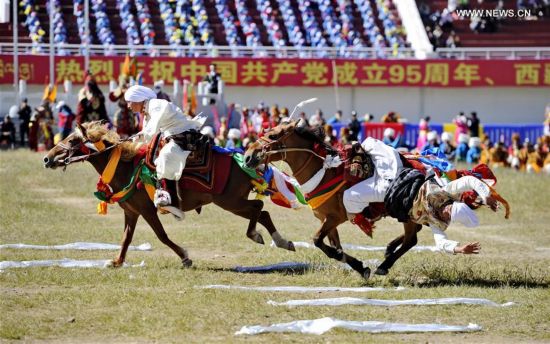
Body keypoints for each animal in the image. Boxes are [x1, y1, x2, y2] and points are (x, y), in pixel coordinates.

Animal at [44, 122, 296, 268]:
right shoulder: (131, 212)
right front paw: (117, 261)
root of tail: (246, 160)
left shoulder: (147, 210)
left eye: (72, 140)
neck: (126, 167)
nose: (47, 158)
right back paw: (283, 241)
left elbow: (162, 236)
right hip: (233, 202)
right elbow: (126, 239)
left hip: (230, 202)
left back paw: (256, 235)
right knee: (262, 212)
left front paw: (185, 257)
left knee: (257, 209)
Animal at [245, 121, 422, 280]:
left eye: (273, 136)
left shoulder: (335, 218)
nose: (247, 156)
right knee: (414, 234)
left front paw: (357, 264)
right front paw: (359, 266)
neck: (325, 174)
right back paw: (389, 248)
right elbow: (336, 247)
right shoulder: (326, 219)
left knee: (411, 239)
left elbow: (318, 240)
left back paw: (385, 265)